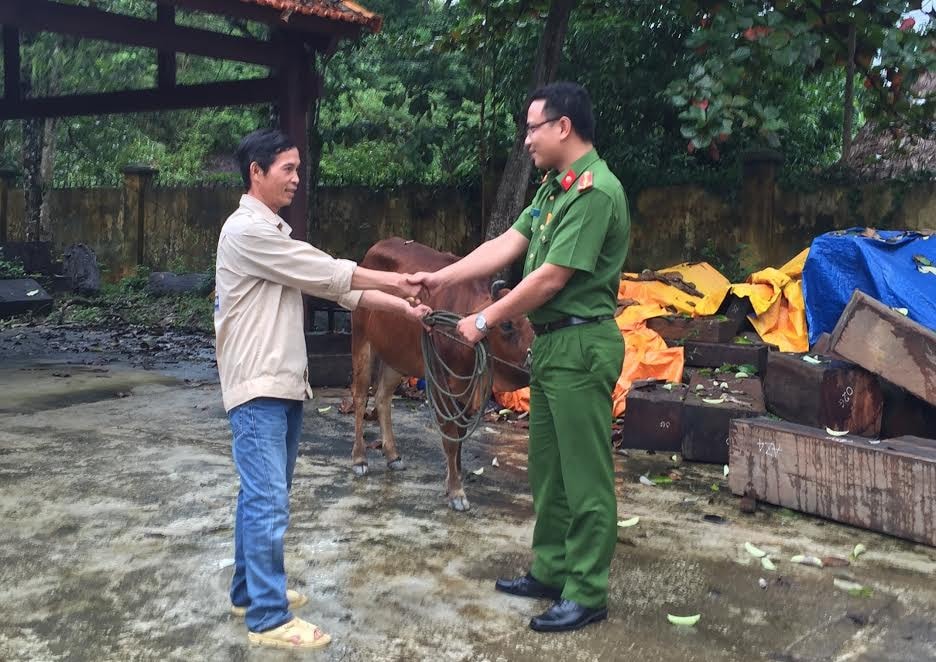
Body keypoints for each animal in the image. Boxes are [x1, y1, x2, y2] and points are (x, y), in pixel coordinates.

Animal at [352, 239, 532, 512]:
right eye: (507, 324)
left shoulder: (465, 390)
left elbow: (460, 438)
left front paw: (455, 476)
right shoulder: (440, 383)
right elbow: (450, 439)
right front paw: (457, 492)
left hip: (397, 357)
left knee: (382, 398)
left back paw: (393, 455)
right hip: (363, 342)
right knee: (361, 397)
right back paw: (359, 458)